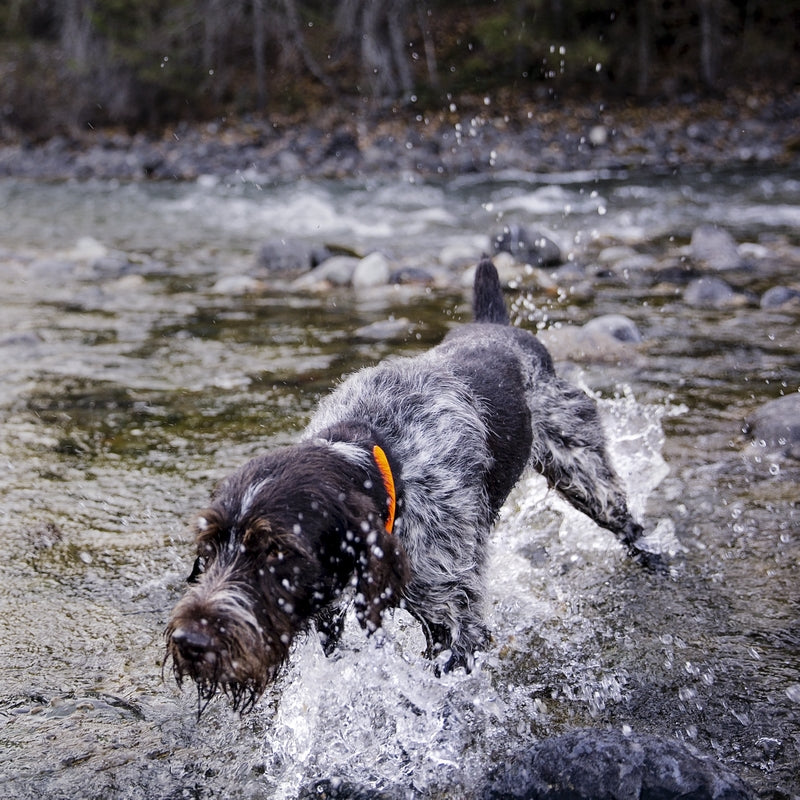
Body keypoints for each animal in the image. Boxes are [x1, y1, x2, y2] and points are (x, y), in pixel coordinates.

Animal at [166, 256, 652, 712]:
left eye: (278, 551)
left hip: (581, 467)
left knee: (627, 522)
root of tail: (498, 327)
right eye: (209, 546)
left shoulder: (453, 618)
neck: (380, 453)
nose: (191, 642)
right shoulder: (333, 612)